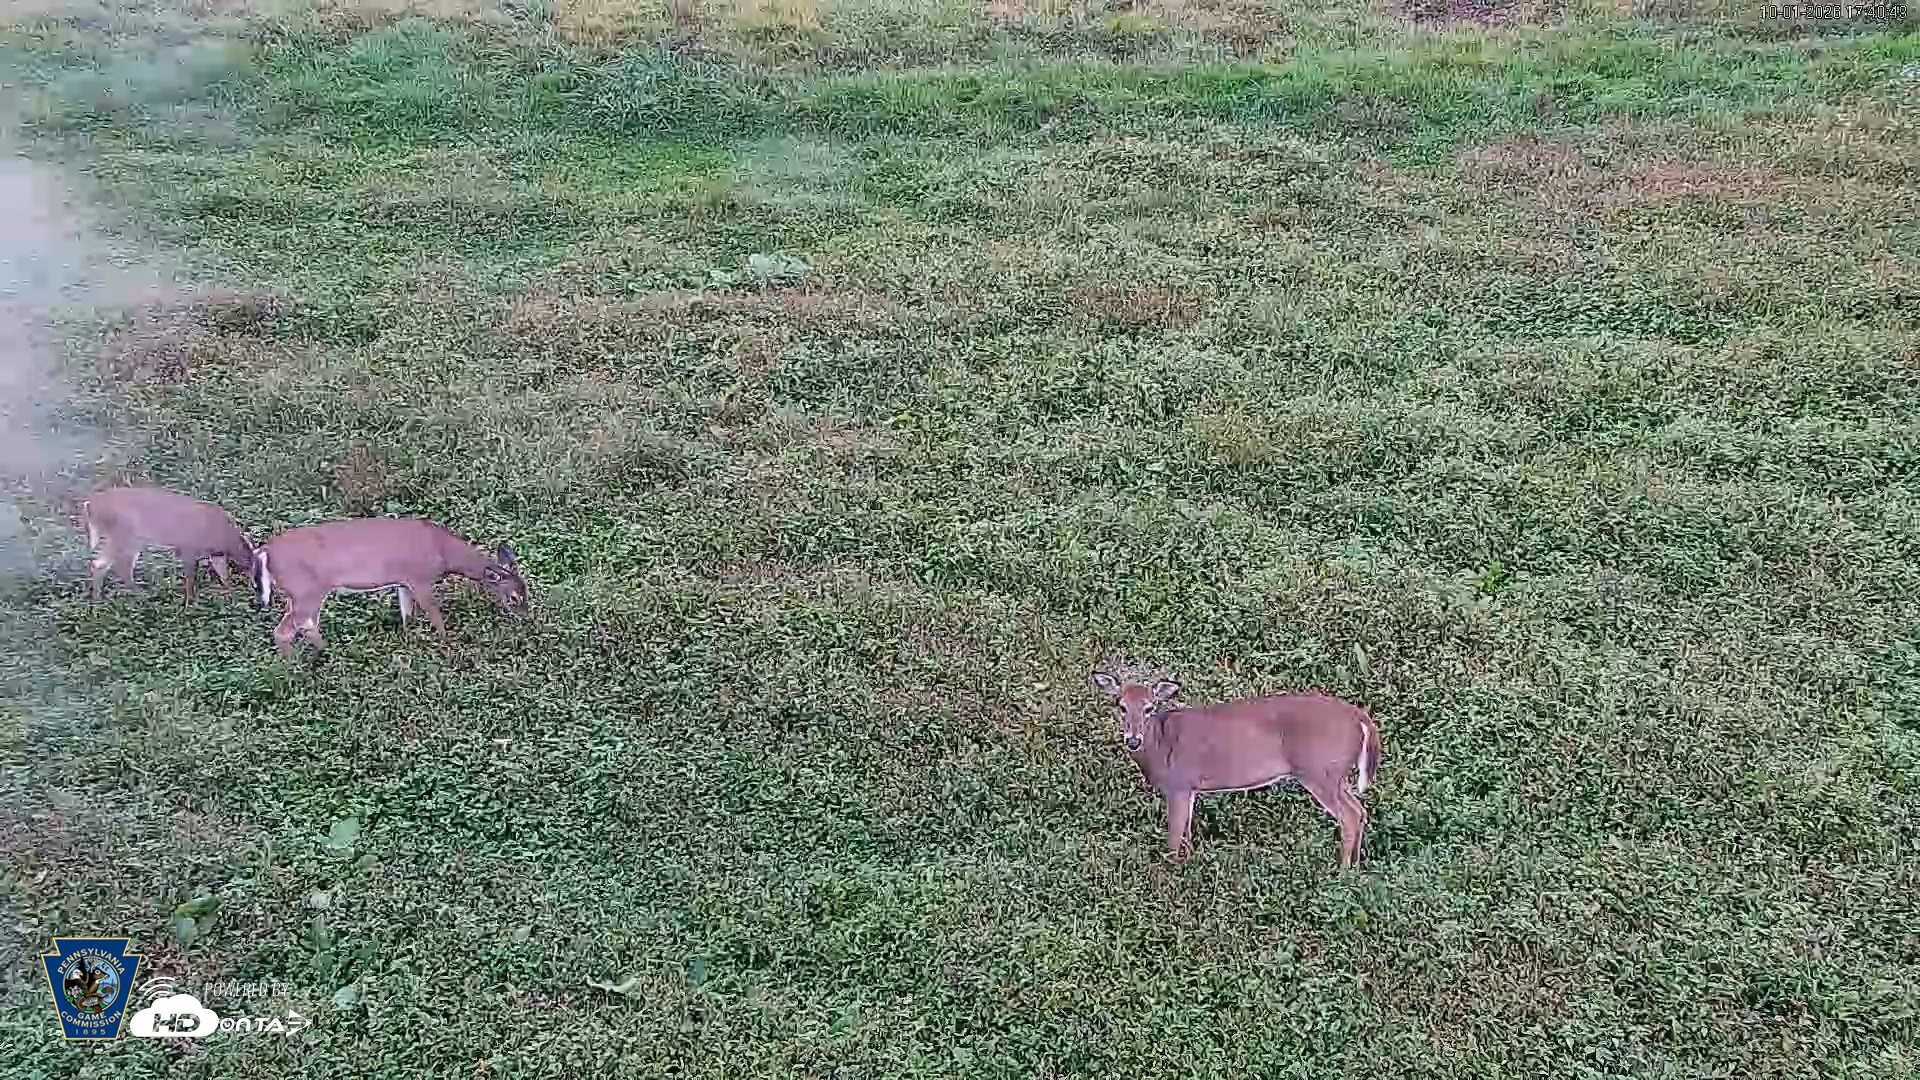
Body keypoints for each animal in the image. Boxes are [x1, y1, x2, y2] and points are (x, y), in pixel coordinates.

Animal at [81, 485, 254, 605]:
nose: (255, 587)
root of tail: (90, 505)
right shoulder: (188, 549)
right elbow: (190, 579)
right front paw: (189, 603)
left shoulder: (216, 555)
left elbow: (224, 576)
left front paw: (233, 598)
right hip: (126, 536)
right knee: (119, 567)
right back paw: (142, 597)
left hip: (123, 539)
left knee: (98, 564)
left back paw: (97, 601)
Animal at [251, 518, 529, 658]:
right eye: (515, 598)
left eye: (527, 591)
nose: (526, 616)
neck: (443, 552)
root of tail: (265, 552)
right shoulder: (419, 578)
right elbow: (435, 615)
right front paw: (448, 644)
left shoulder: (402, 582)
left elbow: (407, 614)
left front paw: (408, 639)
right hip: (306, 590)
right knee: (285, 630)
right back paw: (295, 668)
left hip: (300, 593)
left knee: (305, 624)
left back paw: (327, 653)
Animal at [1091, 669, 1382, 868]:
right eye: (1121, 706)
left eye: (1149, 707)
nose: (1132, 740)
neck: (1162, 745)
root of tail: (1361, 718)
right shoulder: (1191, 789)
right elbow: (1187, 834)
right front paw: (1190, 865)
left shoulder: (1179, 784)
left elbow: (1174, 838)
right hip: (1337, 775)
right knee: (1359, 810)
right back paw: (1356, 867)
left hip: (1319, 771)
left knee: (1349, 816)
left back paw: (1341, 871)